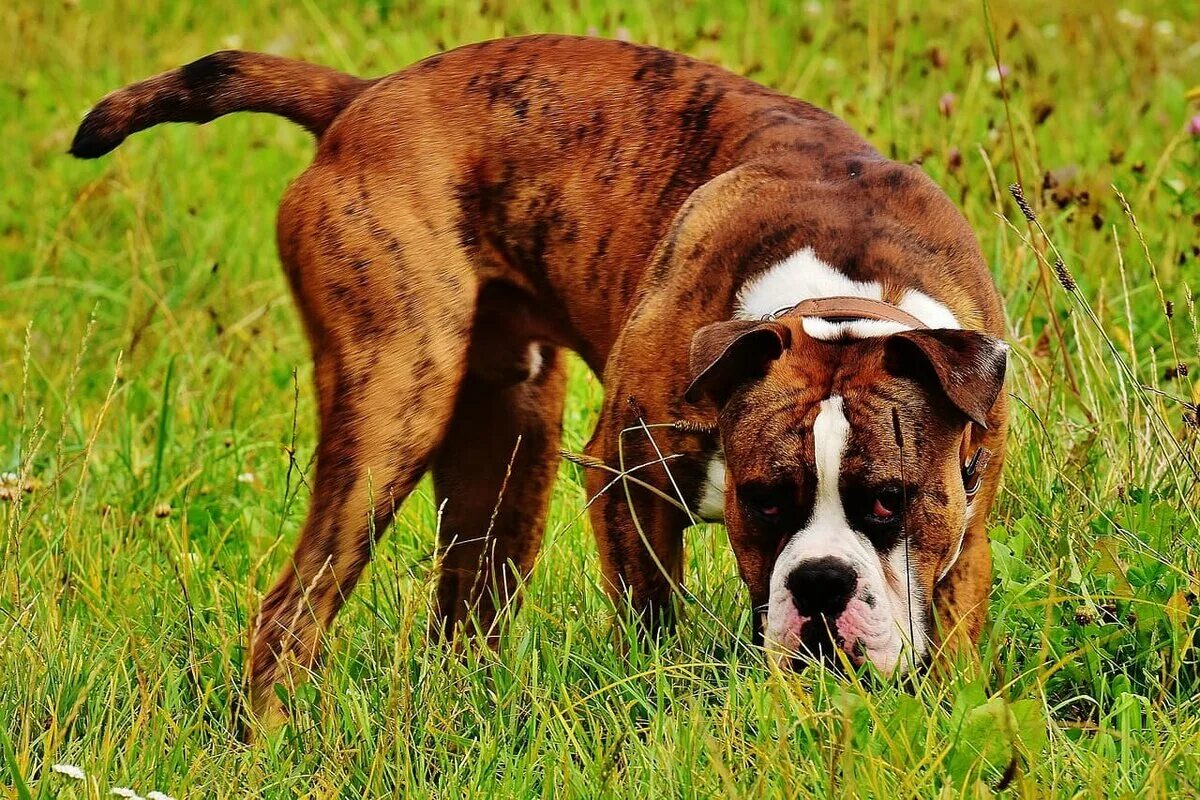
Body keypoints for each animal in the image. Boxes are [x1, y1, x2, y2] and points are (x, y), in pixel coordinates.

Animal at [68, 35, 1003, 724]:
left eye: (889, 502)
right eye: (764, 501)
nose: (819, 584)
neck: (839, 297)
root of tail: (363, 96)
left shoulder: (968, 527)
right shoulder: (628, 478)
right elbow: (650, 620)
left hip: (506, 451)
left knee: (464, 612)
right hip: (391, 413)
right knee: (290, 614)